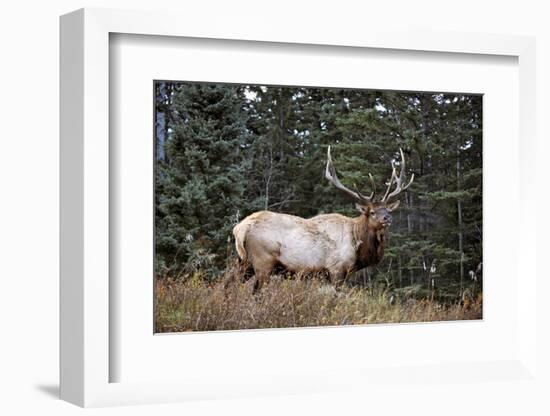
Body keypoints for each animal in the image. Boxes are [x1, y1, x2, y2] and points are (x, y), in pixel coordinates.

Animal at [232, 147, 414, 290]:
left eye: (386, 209)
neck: (357, 244)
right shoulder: (336, 269)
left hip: (244, 262)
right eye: (372, 212)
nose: (387, 218)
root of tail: (240, 228)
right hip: (263, 261)